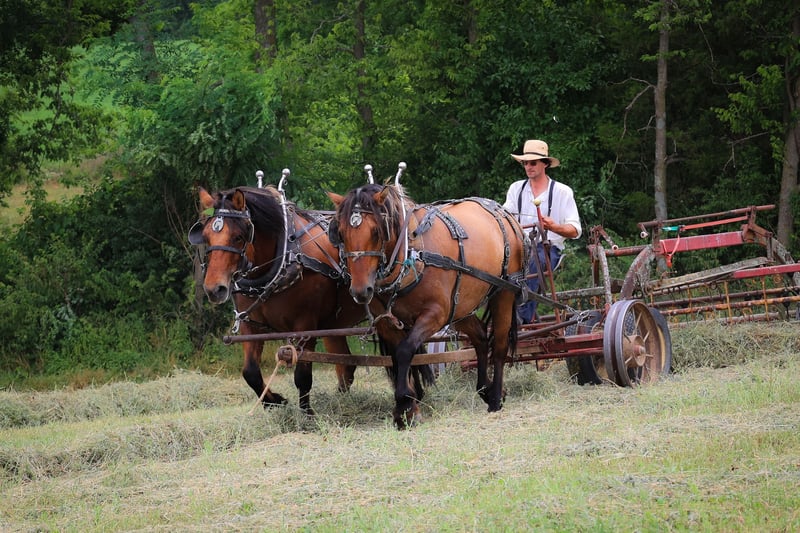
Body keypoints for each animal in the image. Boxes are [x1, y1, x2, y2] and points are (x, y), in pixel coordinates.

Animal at [327, 184, 528, 428]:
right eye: (341, 234)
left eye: (376, 232)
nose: (360, 290)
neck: (411, 254)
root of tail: (506, 215)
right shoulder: (387, 322)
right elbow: (397, 356)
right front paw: (407, 408)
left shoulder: (435, 314)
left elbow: (405, 351)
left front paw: (405, 400)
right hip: (461, 305)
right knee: (480, 337)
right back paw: (485, 389)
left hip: (504, 293)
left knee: (498, 345)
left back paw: (496, 397)